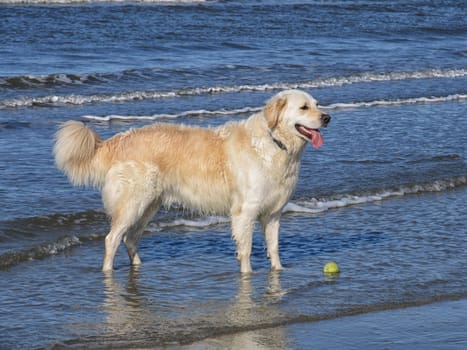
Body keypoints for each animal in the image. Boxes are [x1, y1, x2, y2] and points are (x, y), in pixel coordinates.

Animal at [54, 89, 330, 272]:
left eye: (317, 104)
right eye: (304, 107)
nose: (327, 118)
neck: (275, 143)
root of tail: (120, 139)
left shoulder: (272, 213)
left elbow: (273, 248)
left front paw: (278, 272)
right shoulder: (246, 211)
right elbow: (246, 250)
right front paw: (247, 275)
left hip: (149, 204)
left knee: (130, 239)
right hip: (134, 202)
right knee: (112, 239)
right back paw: (108, 273)